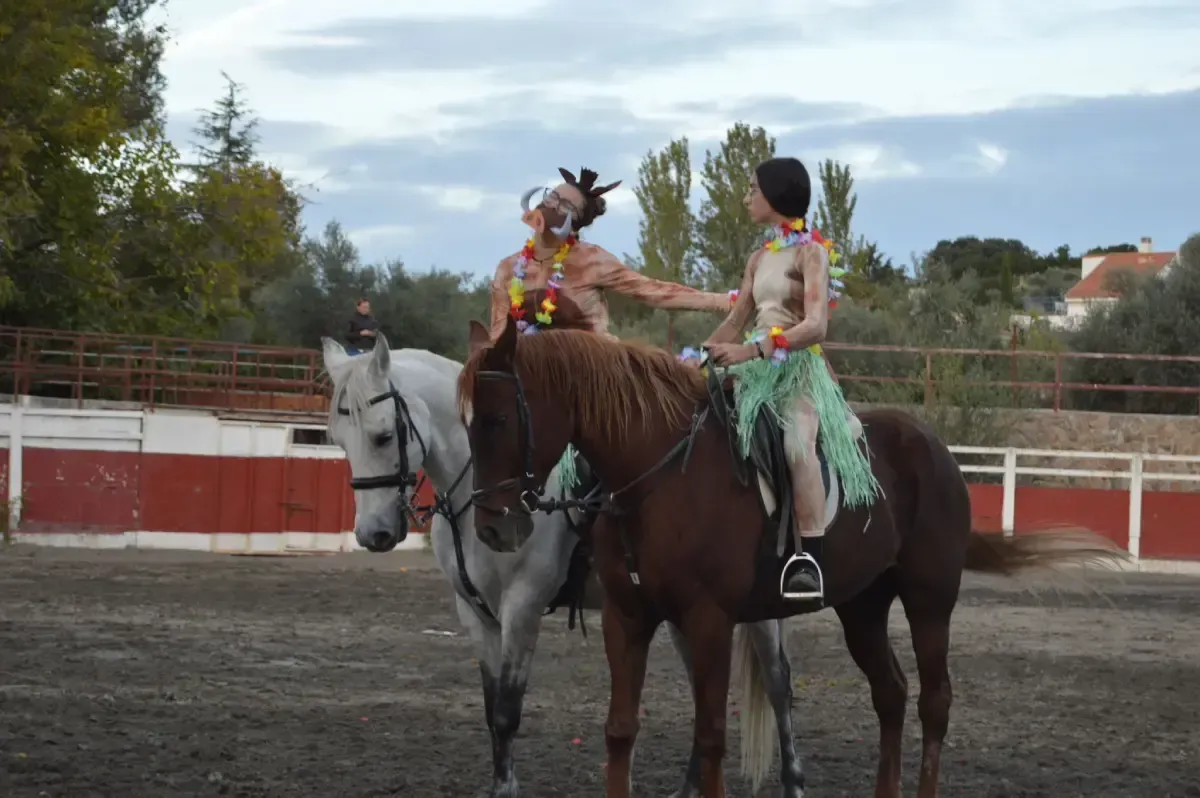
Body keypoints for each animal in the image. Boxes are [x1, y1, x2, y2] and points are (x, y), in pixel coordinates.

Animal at [322, 325, 806, 798]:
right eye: (338, 440)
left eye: (384, 435)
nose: (373, 533)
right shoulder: (476, 614)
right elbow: (492, 710)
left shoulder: (522, 607)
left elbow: (508, 712)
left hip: (751, 613)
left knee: (778, 684)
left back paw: (794, 780)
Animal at [458, 317, 1128, 798]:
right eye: (466, 424)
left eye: (496, 420)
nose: (493, 528)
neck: (658, 476)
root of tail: (934, 446)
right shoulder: (627, 618)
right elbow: (620, 730)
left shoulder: (708, 620)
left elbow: (711, 737)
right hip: (863, 605)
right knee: (891, 693)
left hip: (930, 600)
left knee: (934, 701)